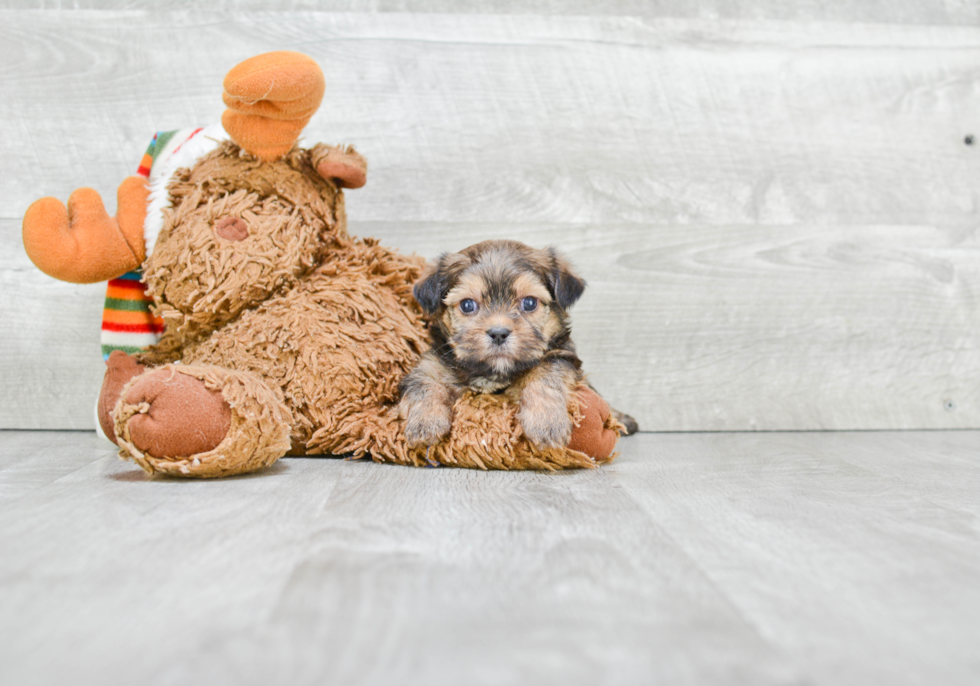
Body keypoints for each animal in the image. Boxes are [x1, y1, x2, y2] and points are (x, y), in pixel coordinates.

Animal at [400, 239, 636, 454]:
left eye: (529, 303)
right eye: (467, 305)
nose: (498, 333)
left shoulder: (561, 355)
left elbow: (545, 375)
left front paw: (546, 422)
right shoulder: (432, 363)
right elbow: (424, 383)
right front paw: (425, 423)